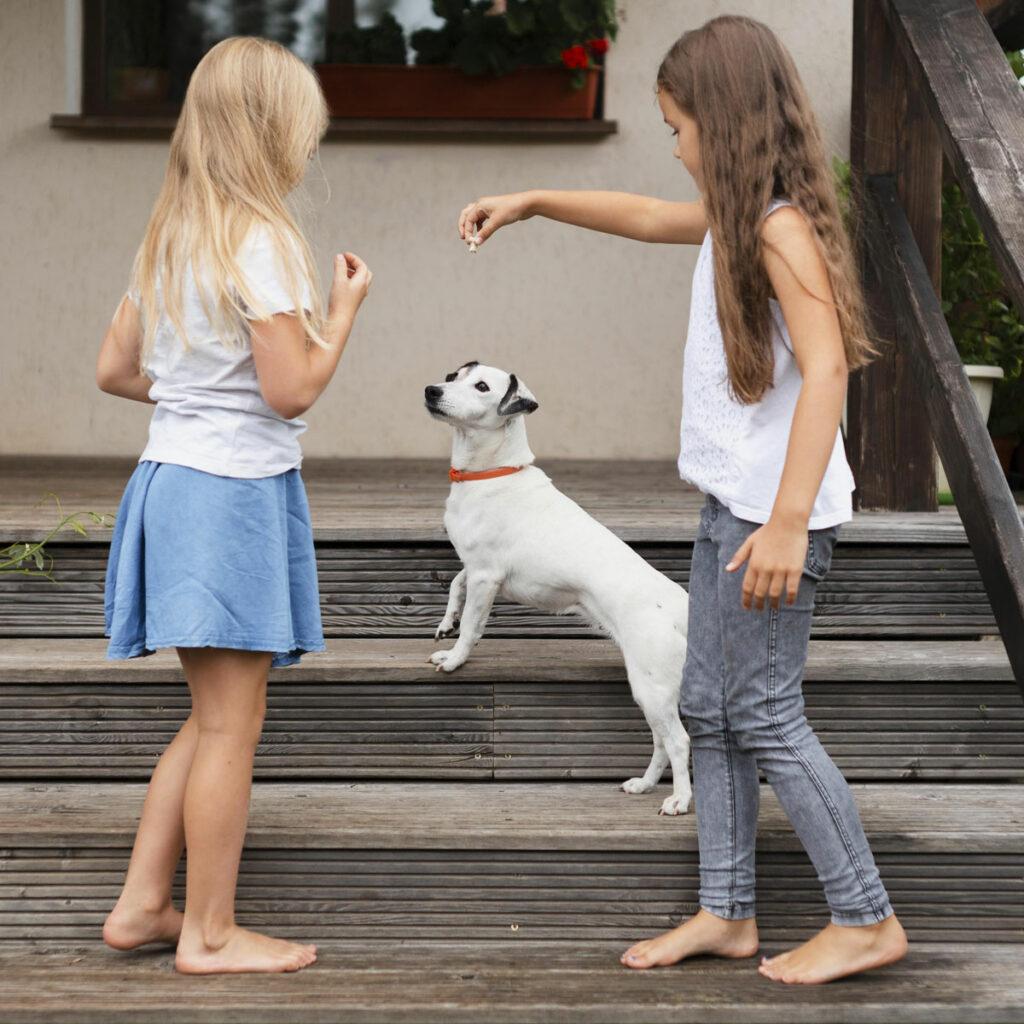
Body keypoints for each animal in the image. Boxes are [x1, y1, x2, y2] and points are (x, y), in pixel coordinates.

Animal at [423, 362, 696, 815]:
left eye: (481, 386)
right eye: (452, 376)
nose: (431, 389)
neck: (490, 473)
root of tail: (681, 608)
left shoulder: (487, 576)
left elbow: (473, 628)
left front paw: (456, 657)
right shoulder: (474, 566)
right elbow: (455, 585)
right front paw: (447, 622)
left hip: (653, 687)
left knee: (678, 741)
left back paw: (680, 800)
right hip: (648, 690)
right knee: (661, 741)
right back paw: (644, 785)